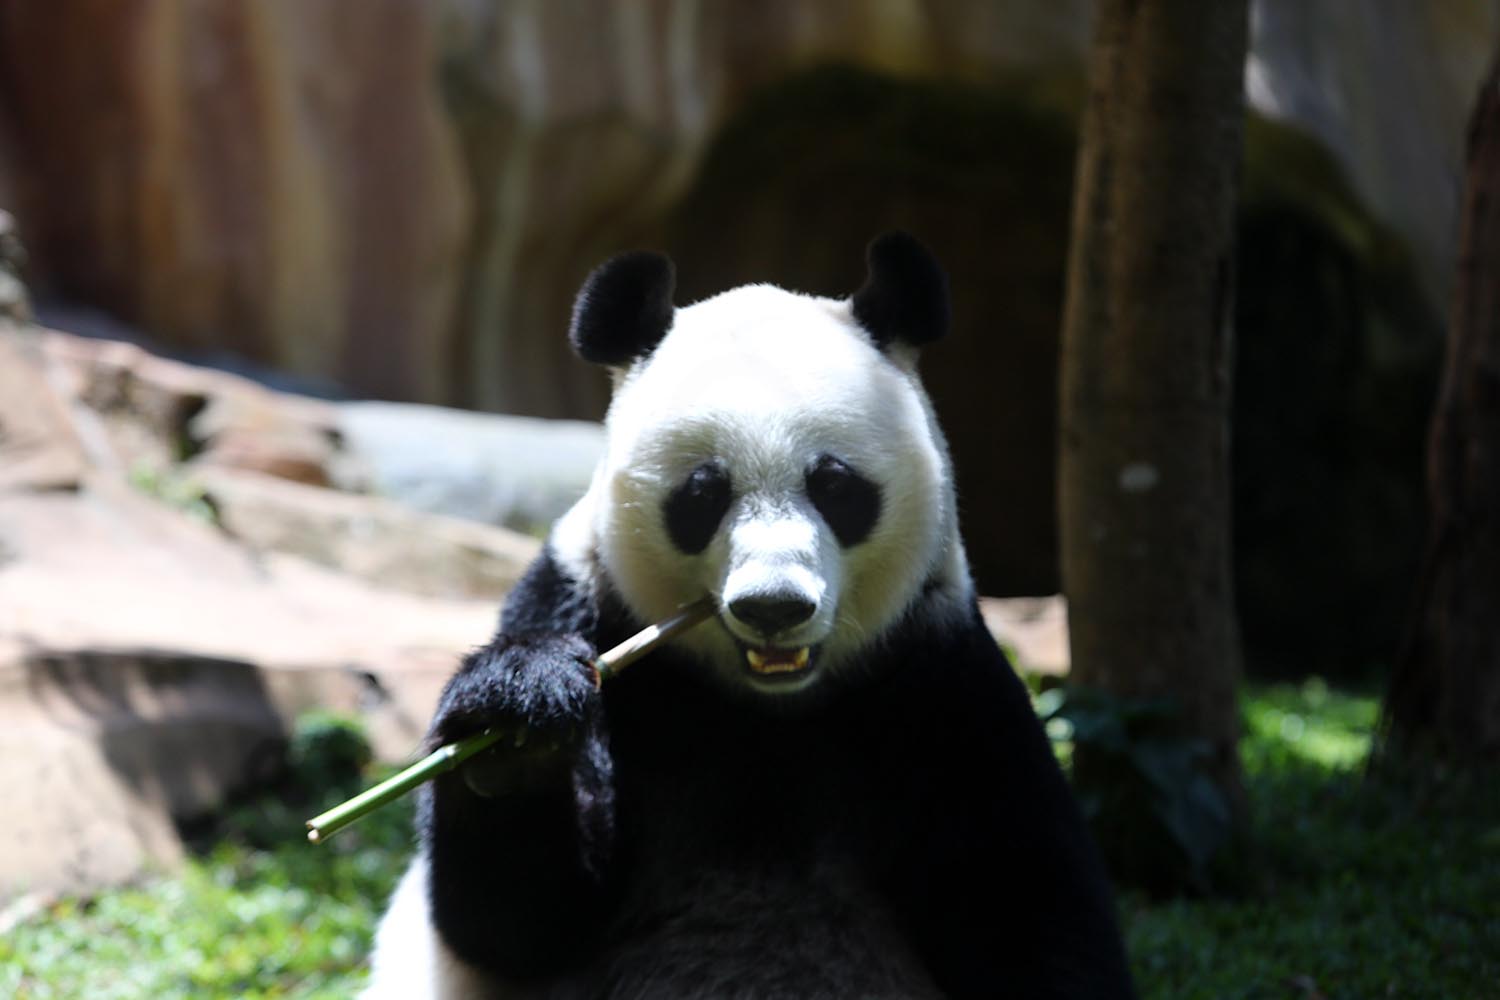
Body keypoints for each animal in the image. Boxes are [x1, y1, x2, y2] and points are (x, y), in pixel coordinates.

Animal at [366, 236, 1134, 1000]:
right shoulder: (578, 599)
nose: (773, 606)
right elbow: (512, 922)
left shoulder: (940, 677)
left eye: (835, 486)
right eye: (703, 495)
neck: (769, 710)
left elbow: (1029, 911)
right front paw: (517, 731)